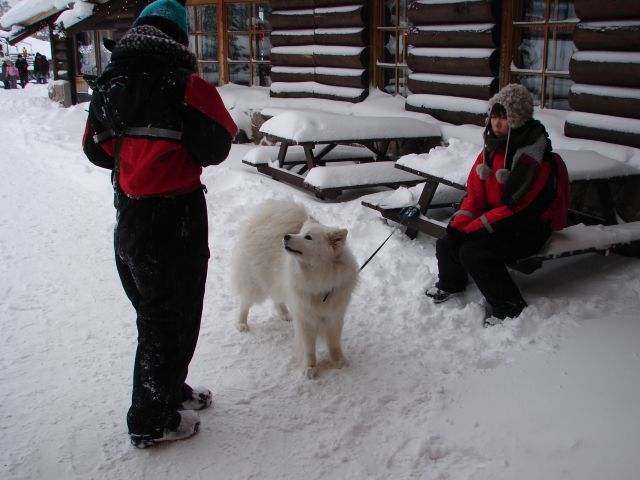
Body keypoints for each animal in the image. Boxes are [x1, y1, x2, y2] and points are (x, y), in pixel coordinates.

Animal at [231, 200, 360, 378]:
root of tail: (263, 217)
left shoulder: (334, 316)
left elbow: (334, 343)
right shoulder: (305, 318)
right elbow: (308, 348)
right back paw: (242, 324)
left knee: (277, 299)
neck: (319, 280)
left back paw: (285, 314)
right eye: (300, 233)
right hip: (256, 283)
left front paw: (338, 361)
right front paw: (310, 368)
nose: (286, 236)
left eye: (308, 237)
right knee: (245, 303)